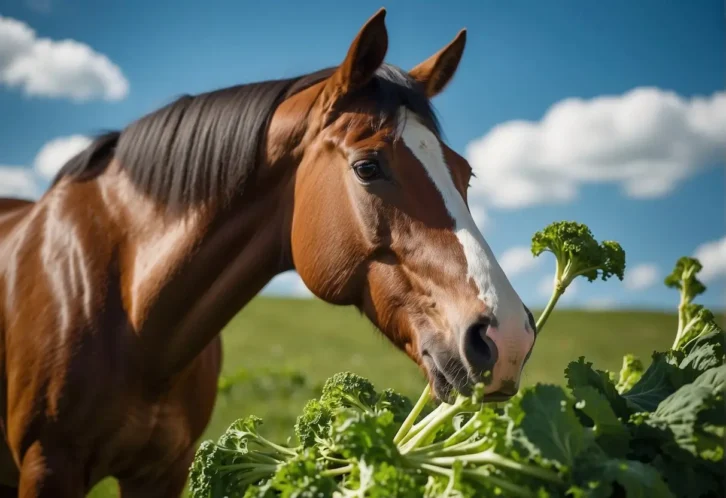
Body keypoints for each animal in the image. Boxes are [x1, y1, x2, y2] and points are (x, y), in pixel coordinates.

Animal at [0, 8, 536, 498]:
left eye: (465, 173)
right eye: (367, 167)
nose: (508, 337)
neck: (130, 309)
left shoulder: (164, 471)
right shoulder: (48, 466)